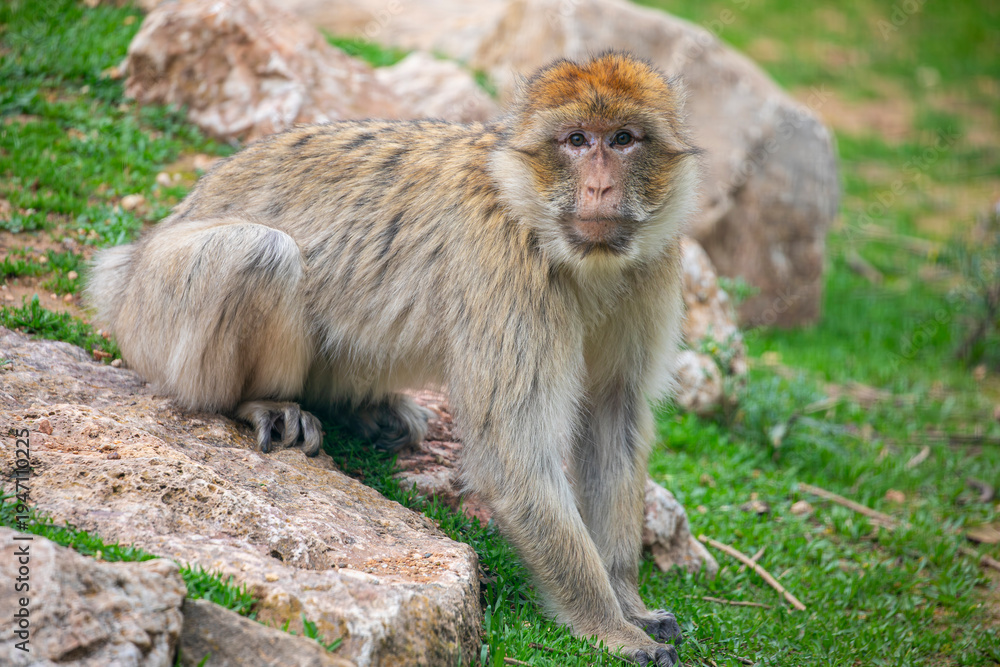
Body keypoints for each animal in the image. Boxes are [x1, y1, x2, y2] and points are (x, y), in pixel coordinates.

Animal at [86, 52, 701, 666]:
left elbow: (613, 418)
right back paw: (262, 403)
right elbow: (515, 455)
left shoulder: (651, 267)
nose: (599, 185)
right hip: (152, 313)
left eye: (623, 139)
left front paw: (628, 600)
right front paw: (609, 627)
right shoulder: (507, 260)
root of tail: (126, 270)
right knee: (259, 251)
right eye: (576, 140)